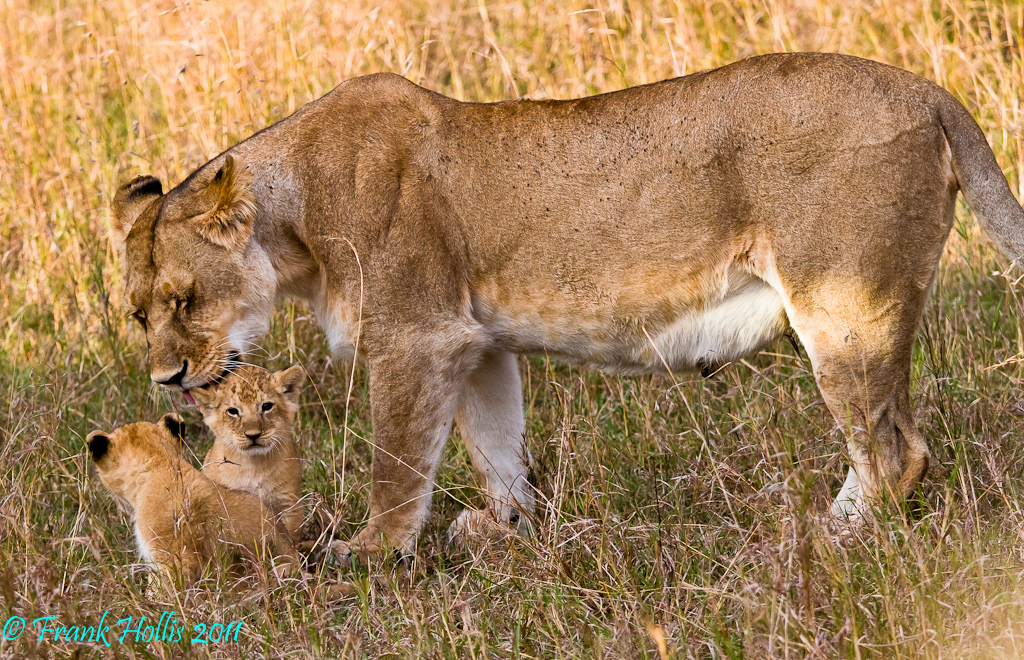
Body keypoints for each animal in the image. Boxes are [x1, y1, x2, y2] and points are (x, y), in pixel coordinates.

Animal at [110, 52, 1024, 561]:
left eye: (185, 299)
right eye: (138, 313)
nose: (166, 380)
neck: (293, 228)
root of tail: (927, 90)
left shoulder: (417, 337)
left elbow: (398, 464)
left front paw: (368, 556)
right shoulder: (474, 343)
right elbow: (496, 445)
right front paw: (504, 530)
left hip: (844, 307)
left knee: (898, 454)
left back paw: (830, 542)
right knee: (890, 449)